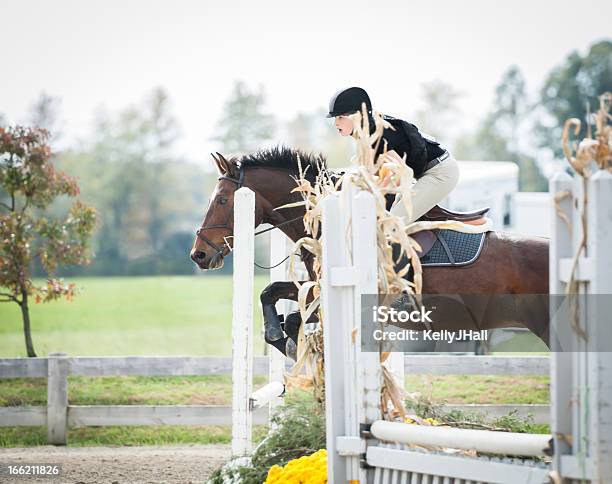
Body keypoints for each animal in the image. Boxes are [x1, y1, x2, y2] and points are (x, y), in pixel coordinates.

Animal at [192, 147, 548, 356]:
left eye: (222, 200)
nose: (198, 255)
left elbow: (294, 316)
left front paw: (290, 342)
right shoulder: (313, 285)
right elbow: (271, 292)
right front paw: (277, 335)